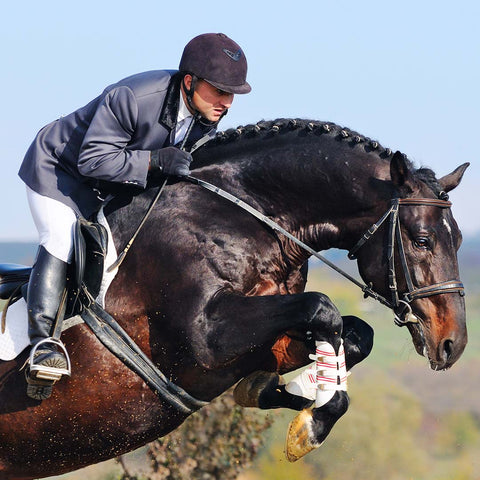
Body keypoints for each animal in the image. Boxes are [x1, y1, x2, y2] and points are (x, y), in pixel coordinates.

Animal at [0, 117, 466, 480]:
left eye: (460, 240)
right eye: (422, 240)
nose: (453, 344)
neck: (243, 217)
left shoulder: (265, 336)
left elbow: (355, 333)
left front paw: (284, 393)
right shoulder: (206, 339)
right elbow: (324, 309)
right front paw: (310, 426)